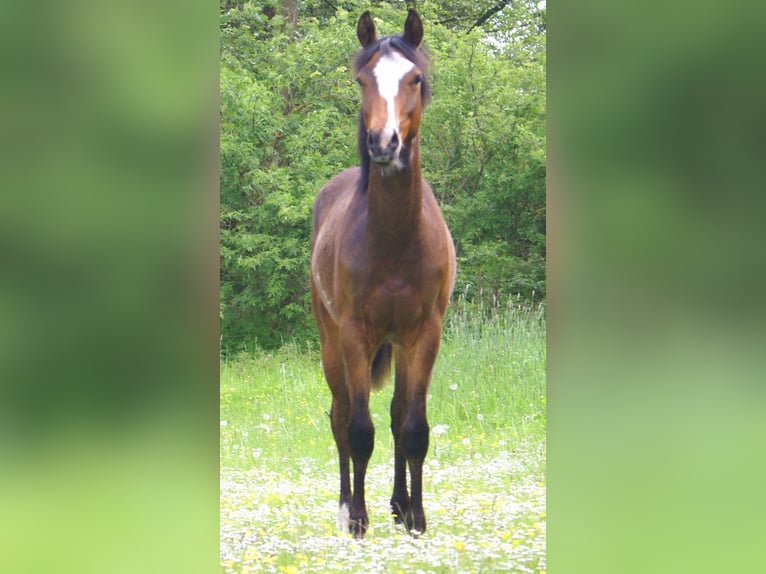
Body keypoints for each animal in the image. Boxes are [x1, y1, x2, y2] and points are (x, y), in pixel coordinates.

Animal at [309, 9, 456, 538]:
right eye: (362, 80)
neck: (394, 238)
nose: (383, 142)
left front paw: (415, 517)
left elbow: (411, 428)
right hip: (331, 341)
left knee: (394, 417)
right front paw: (358, 518)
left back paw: (396, 502)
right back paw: (345, 507)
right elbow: (358, 430)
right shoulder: (356, 334)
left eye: (414, 78)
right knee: (339, 416)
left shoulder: (424, 334)